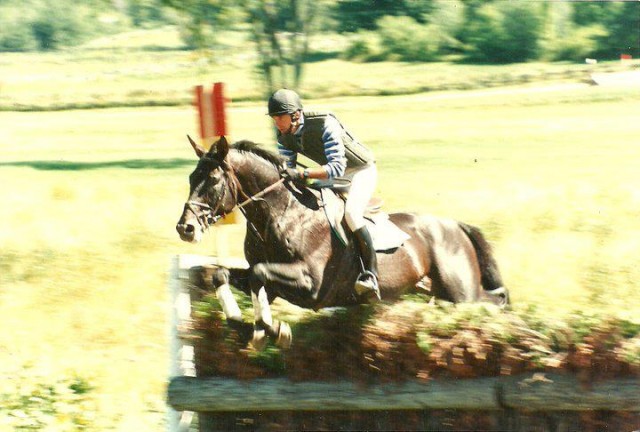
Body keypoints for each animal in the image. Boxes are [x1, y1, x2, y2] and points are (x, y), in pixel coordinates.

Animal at [175, 137, 510, 350]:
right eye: (191, 178)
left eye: (213, 181)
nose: (185, 228)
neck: (282, 214)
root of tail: (454, 225)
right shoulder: (271, 280)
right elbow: (225, 274)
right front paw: (246, 325)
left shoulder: (310, 285)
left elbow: (258, 274)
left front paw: (272, 329)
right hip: (432, 289)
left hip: (461, 292)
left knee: (493, 300)